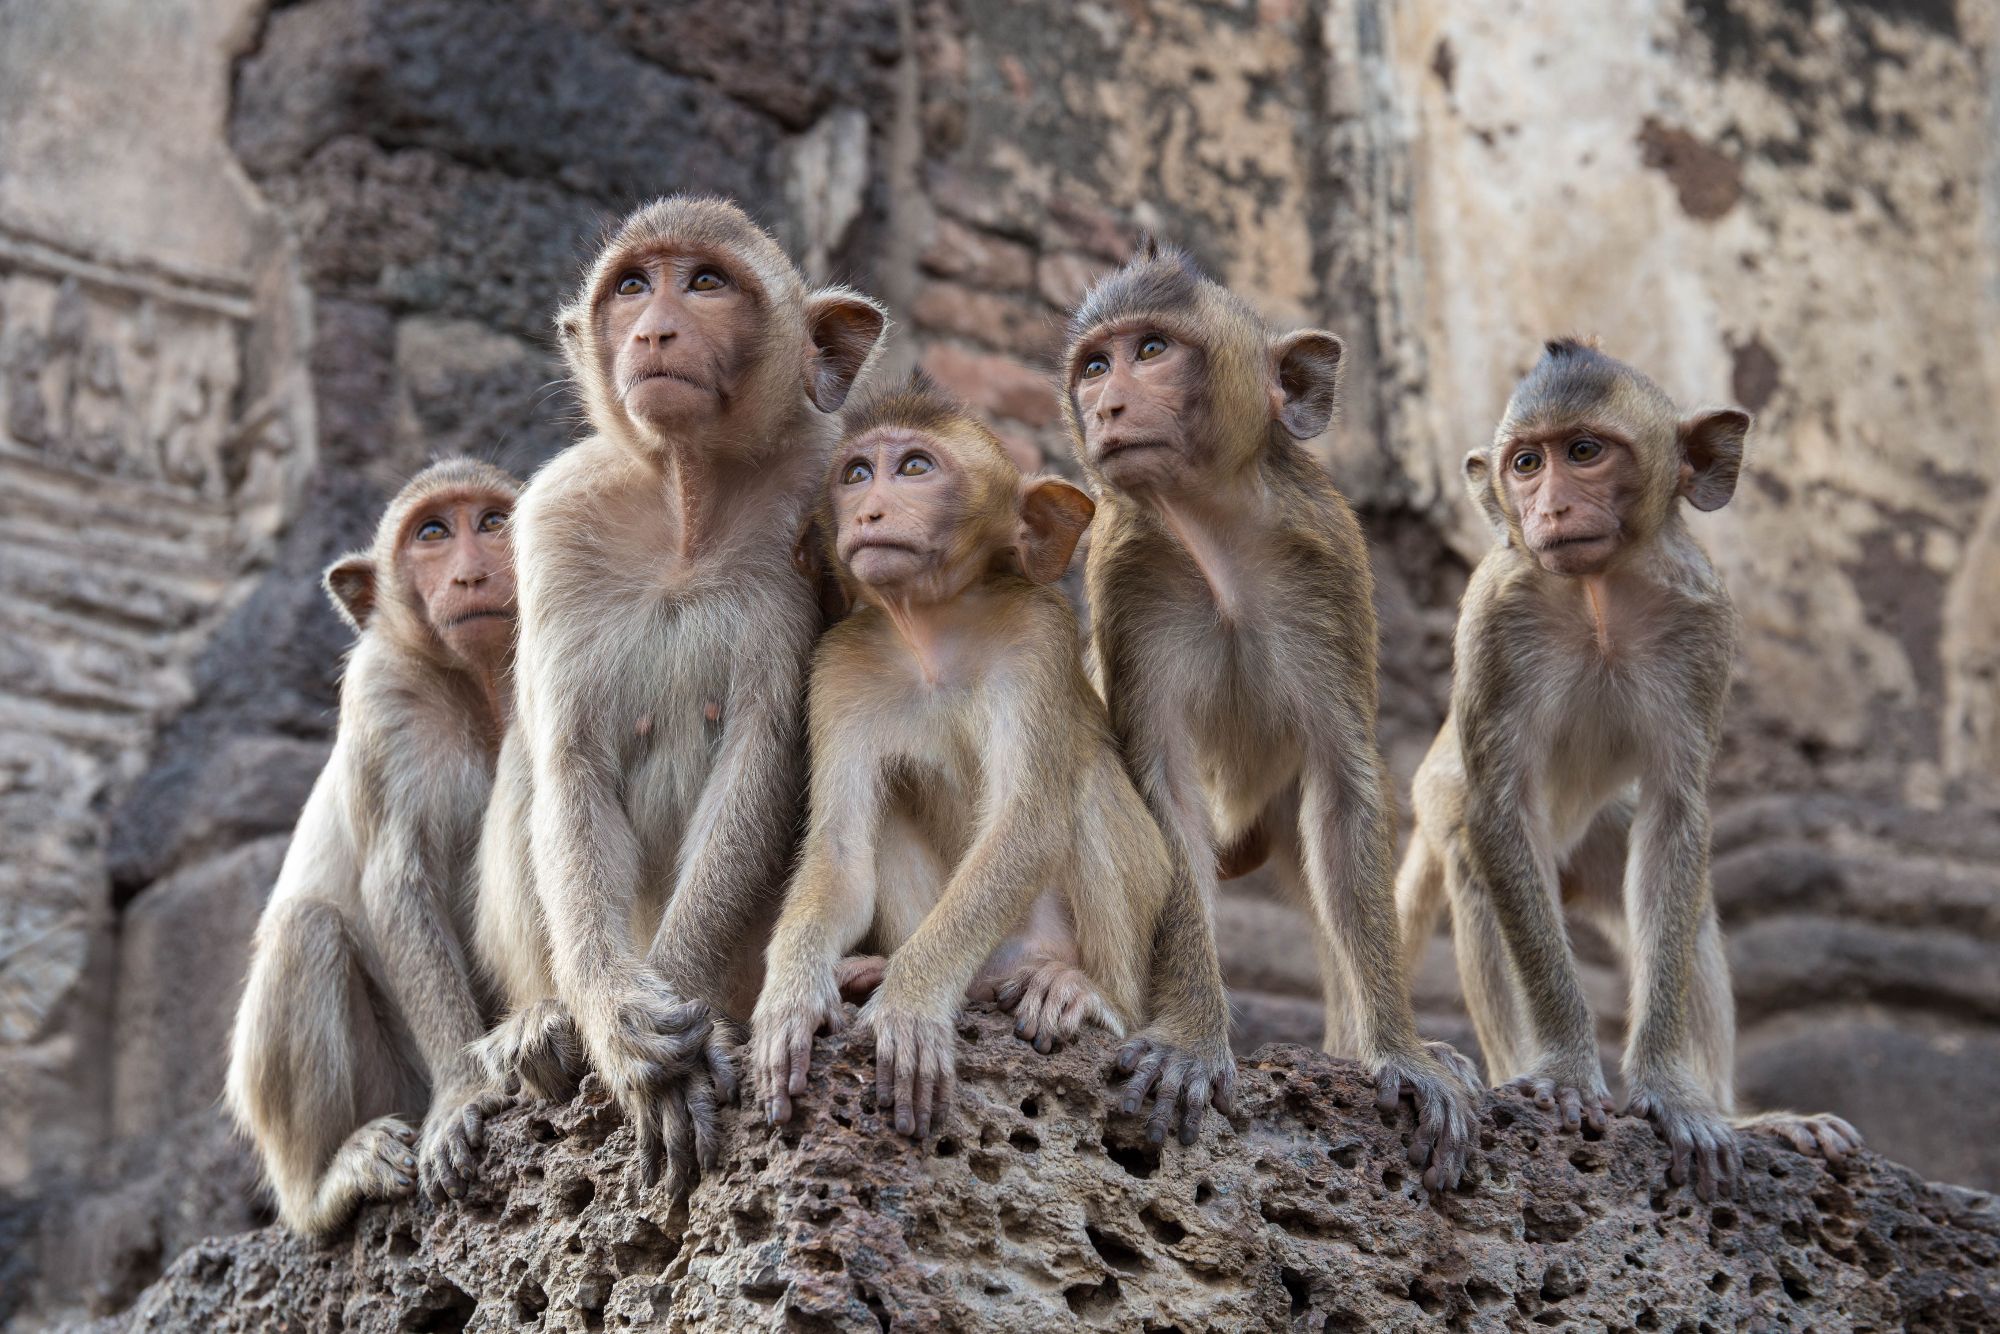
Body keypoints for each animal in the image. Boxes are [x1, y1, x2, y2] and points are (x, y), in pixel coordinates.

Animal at [226, 460, 524, 1240]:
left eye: (491, 522)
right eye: (432, 533)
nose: (473, 573)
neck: (482, 691)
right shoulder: (382, 694)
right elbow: (398, 882)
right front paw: (465, 1093)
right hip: (386, 1089)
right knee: (306, 930)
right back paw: (327, 1185)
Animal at [472, 193, 888, 1192]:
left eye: (703, 282)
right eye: (632, 286)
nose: (654, 329)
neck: (686, 503)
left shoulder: (815, 499)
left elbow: (763, 753)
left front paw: (681, 1009)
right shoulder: (554, 525)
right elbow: (571, 768)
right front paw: (622, 1029)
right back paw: (545, 1025)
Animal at [744, 380, 1168, 1144]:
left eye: (914, 467)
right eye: (855, 473)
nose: (869, 510)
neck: (929, 627)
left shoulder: (1038, 634)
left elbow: (1024, 825)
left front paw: (911, 1003)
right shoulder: (838, 666)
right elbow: (840, 850)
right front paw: (790, 996)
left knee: (1085, 787)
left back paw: (1091, 995)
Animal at [1064, 243, 1488, 1192]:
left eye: (1151, 350)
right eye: (1095, 365)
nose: (1105, 405)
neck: (1215, 533)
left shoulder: (1329, 563)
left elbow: (1345, 790)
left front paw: (1398, 1052)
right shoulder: (1124, 573)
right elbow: (1163, 794)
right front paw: (1191, 1037)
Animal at [1392, 340, 1856, 1208]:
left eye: (1584, 452)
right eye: (1526, 463)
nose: (1550, 509)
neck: (1598, 593)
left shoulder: (1707, 621)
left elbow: (1679, 816)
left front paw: (1672, 1095)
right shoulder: (1492, 615)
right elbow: (1499, 809)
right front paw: (1565, 1073)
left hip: (1603, 833)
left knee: (1686, 904)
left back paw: (1741, 1116)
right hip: (1450, 811)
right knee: (1475, 868)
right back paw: (1509, 1072)